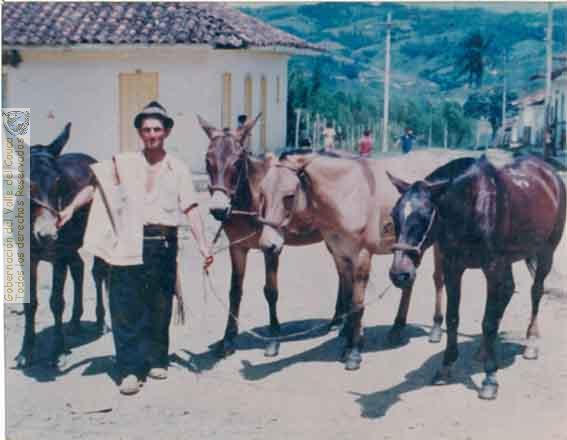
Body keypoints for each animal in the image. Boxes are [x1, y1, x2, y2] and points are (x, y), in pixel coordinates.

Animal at [17, 123, 107, 369]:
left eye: (59, 181)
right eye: (25, 181)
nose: (47, 234)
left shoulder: (58, 256)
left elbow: (56, 302)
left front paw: (57, 351)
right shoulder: (26, 257)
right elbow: (30, 304)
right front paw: (25, 351)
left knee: (98, 273)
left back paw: (100, 321)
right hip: (71, 248)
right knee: (78, 268)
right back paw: (75, 321)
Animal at [199, 115, 335, 358]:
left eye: (237, 162)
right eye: (208, 161)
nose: (218, 210)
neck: (251, 198)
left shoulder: (272, 248)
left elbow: (271, 291)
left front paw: (273, 339)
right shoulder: (237, 247)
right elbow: (235, 291)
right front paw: (228, 339)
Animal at [257, 149, 478, 370]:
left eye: (289, 195)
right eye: (262, 193)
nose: (268, 245)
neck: (347, 194)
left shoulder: (361, 256)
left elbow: (357, 305)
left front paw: (354, 352)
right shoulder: (341, 256)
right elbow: (347, 299)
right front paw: (346, 341)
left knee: (438, 280)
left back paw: (435, 328)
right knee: (409, 282)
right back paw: (397, 328)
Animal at [387, 153, 566, 399]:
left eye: (423, 216)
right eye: (394, 215)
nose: (399, 274)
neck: (472, 206)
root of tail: (550, 174)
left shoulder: (492, 267)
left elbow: (488, 322)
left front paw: (490, 378)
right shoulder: (453, 267)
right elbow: (453, 318)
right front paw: (445, 367)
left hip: (546, 251)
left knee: (535, 291)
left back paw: (531, 343)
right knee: (508, 291)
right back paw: (483, 349)